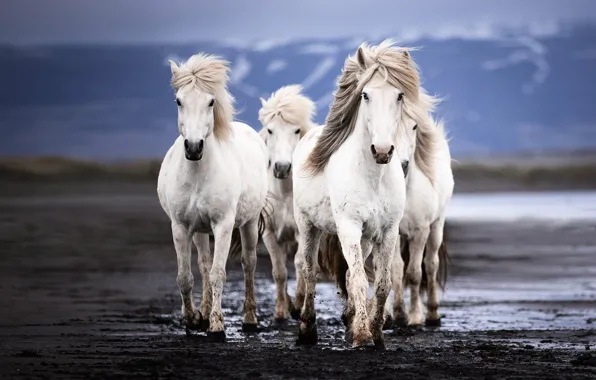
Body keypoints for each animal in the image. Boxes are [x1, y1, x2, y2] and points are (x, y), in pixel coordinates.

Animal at [158, 52, 270, 338]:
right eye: (178, 101)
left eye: (211, 102)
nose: (193, 147)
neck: (198, 174)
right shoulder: (180, 226)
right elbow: (186, 276)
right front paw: (193, 319)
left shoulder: (223, 225)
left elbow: (220, 273)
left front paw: (218, 325)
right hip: (199, 230)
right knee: (204, 265)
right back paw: (205, 312)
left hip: (248, 223)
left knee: (248, 263)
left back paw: (249, 318)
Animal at [255, 84, 318, 322]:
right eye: (270, 130)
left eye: (296, 130)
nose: (282, 168)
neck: (284, 196)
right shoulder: (269, 233)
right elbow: (279, 271)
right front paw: (281, 310)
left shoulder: (302, 231)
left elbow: (301, 264)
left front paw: (298, 304)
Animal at [292, 40, 422, 348]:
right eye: (365, 94)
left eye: (400, 95)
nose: (383, 150)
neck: (372, 177)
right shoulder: (349, 226)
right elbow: (361, 280)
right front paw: (363, 336)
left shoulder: (388, 231)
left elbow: (382, 282)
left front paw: (375, 332)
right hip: (308, 225)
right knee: (309, 271)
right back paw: (307, 330)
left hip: (364, 239)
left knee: (351, 273)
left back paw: (349, 320)